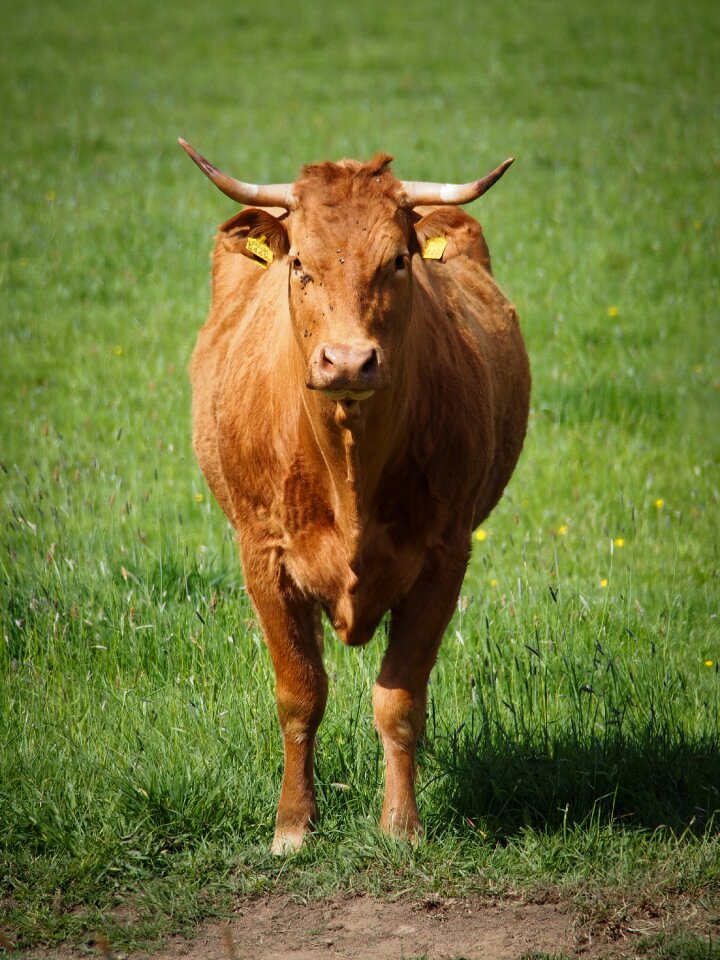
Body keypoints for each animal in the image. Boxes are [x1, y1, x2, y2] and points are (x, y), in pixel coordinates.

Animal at [179, 139, 528, 852]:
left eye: (397, 261)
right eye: (299, 265)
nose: (347, 362)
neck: (347, 469)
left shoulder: (445, 557)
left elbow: (399, 700)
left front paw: (401, 826)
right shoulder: (263, 557)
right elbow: (300, 693)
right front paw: (292, 825)